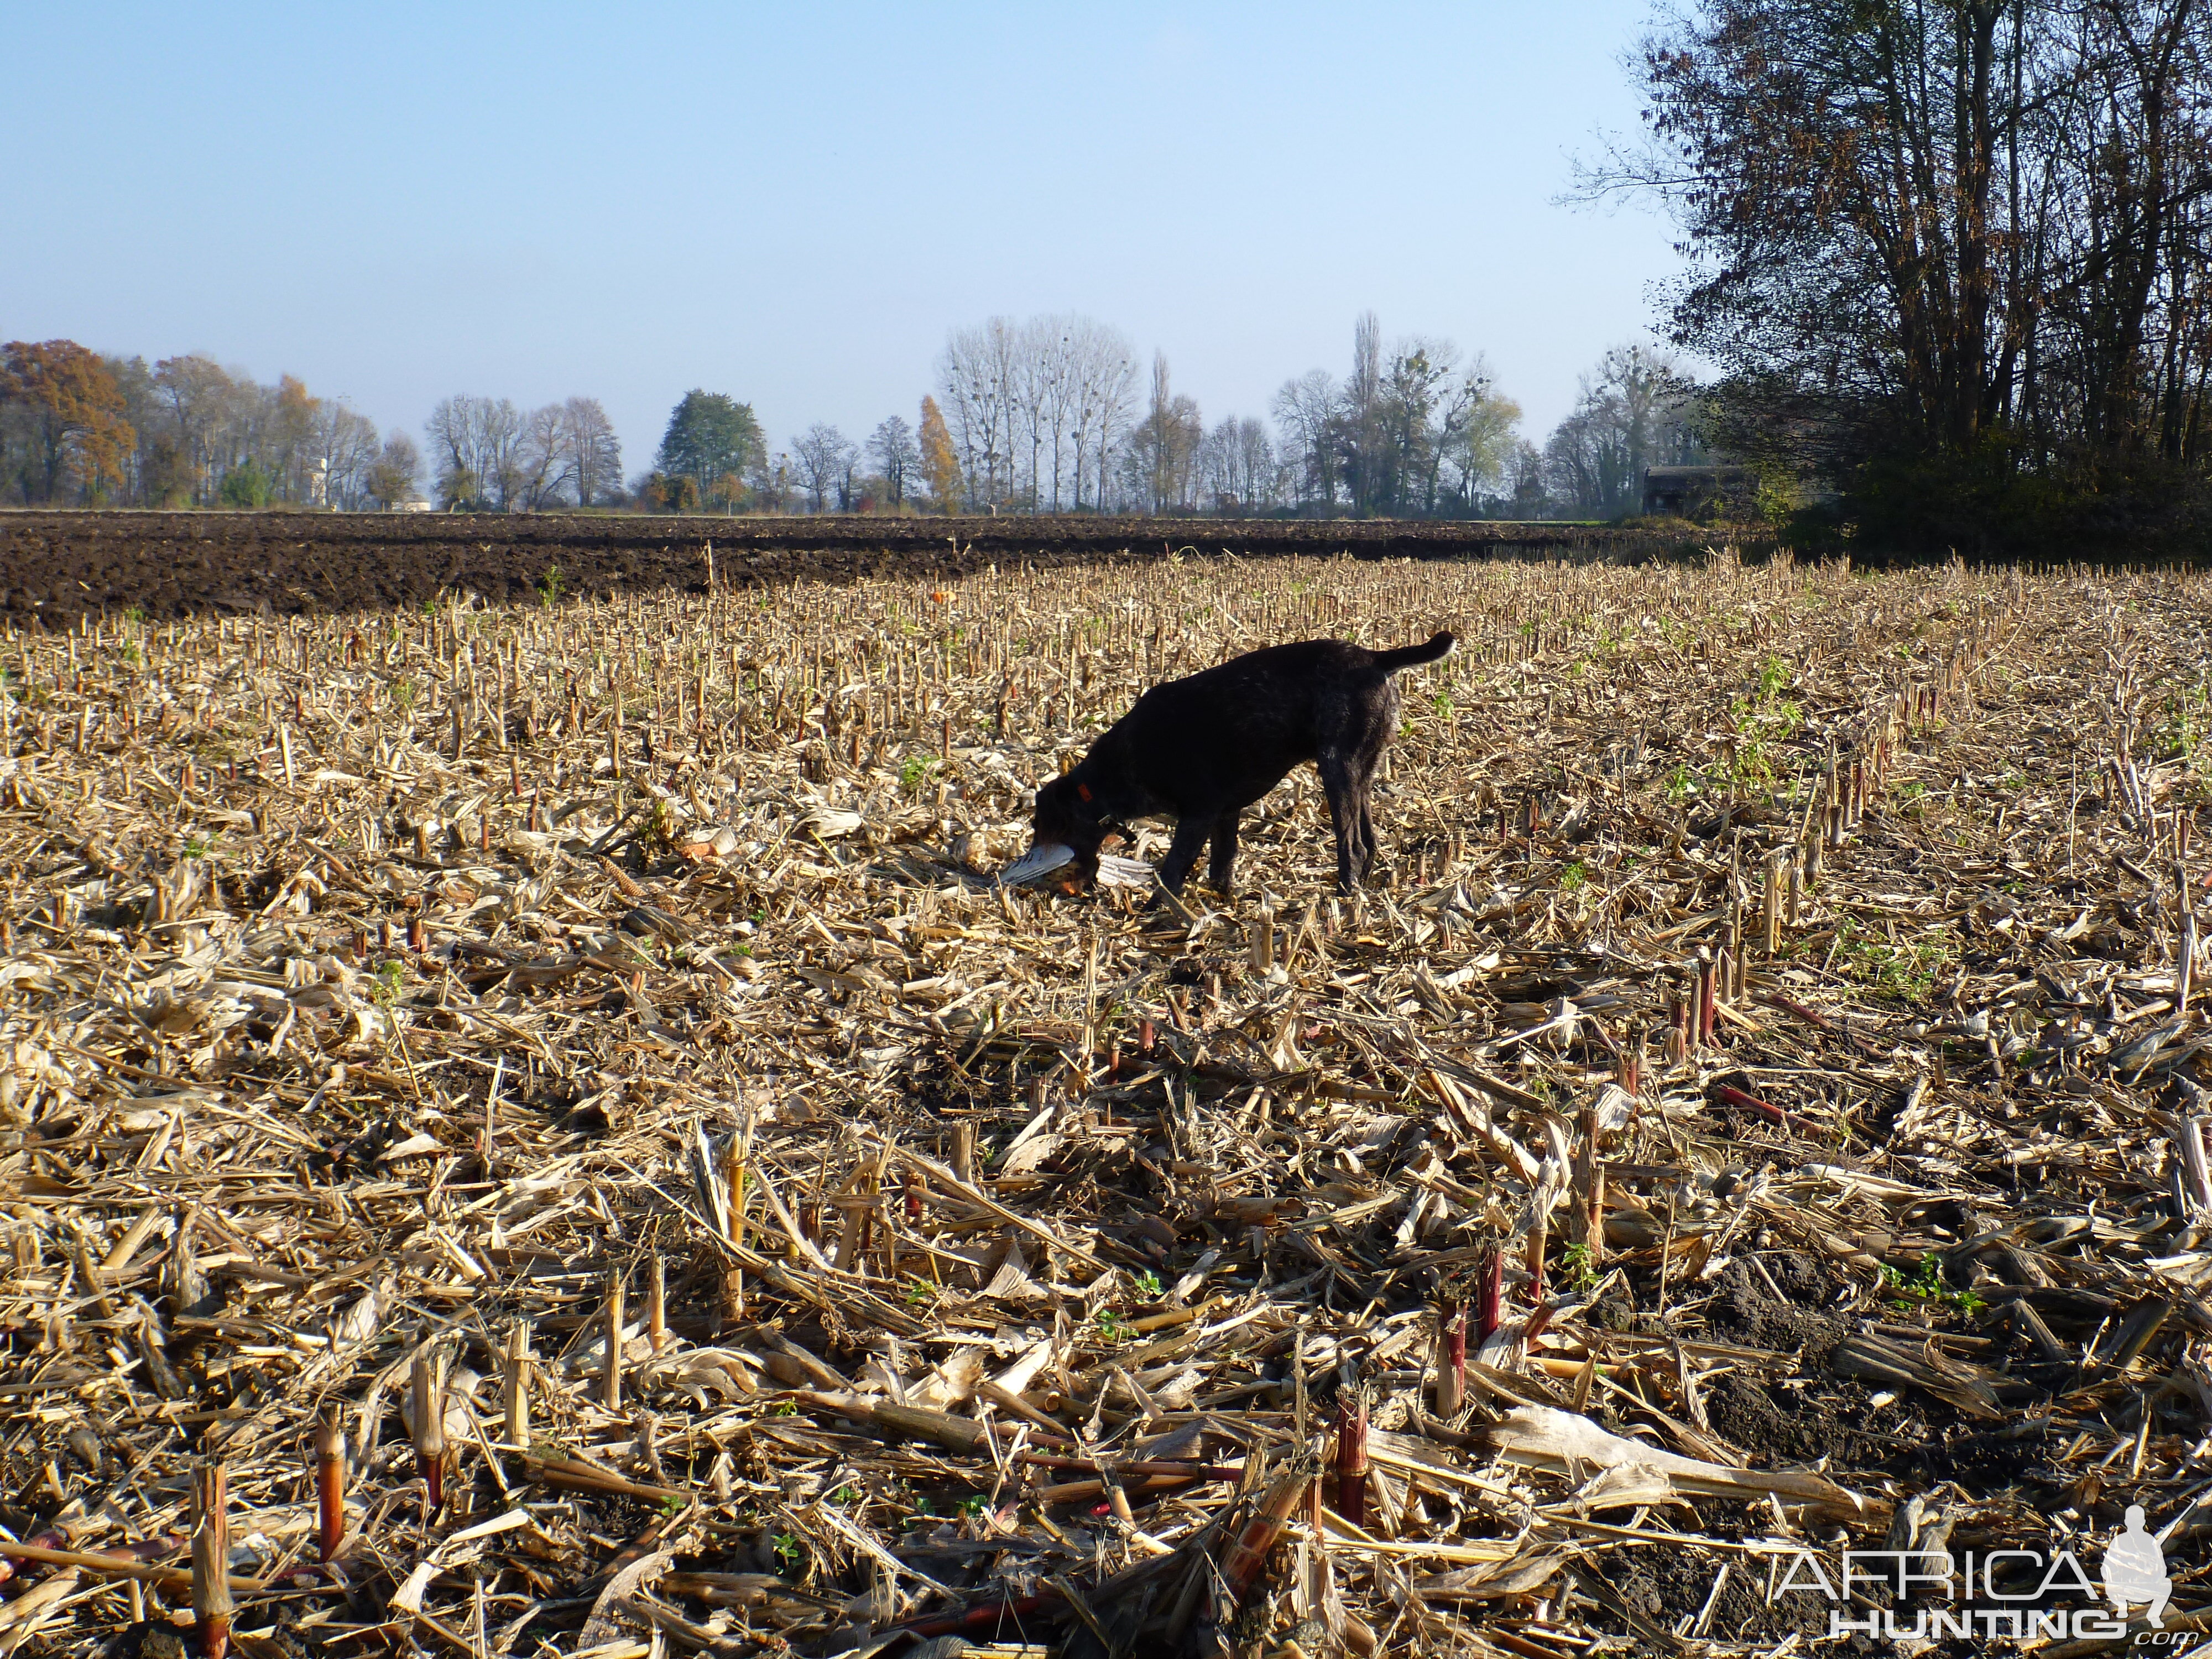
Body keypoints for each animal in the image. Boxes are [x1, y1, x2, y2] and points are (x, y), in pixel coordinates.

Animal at [1004, 633, 1451, 898]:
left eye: (1042, 826)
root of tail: (1375, 659)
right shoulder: (1225, 813)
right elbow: (1221, 864)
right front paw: (1223, 902)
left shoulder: (1198, 815)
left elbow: (1173, 870)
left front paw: (1156, 913)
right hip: (1362, 772)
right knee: (1369, 840)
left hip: (1336, 768)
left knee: (1352, 846)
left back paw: (1343, 898)